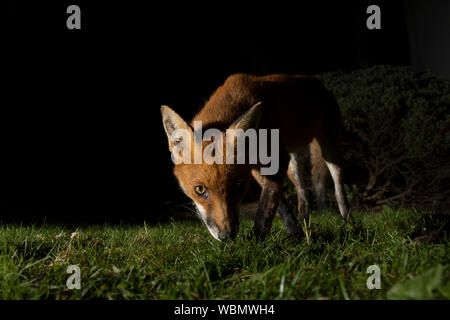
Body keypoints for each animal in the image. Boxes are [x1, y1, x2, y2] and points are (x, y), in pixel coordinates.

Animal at [160, 74, 350, 240]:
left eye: (238, 186)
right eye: (199, 190)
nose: (227, 236)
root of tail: (319, 84)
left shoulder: (277, 160)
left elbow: (266, 205)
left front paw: (257, 243)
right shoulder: (257, 168)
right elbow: (279, 202)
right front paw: (293, 231)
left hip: (329, 149)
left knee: (338, 186)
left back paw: (348, 221)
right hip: (293, 164)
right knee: (303, 193)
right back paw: (304, 224)